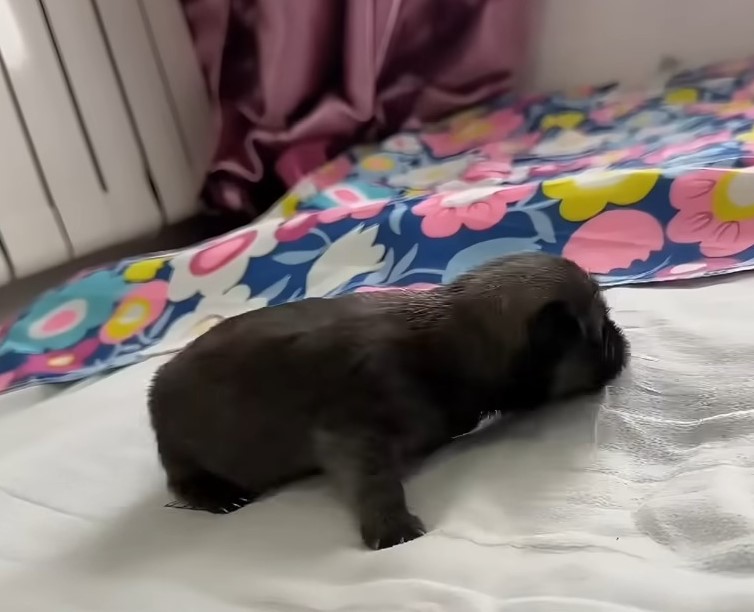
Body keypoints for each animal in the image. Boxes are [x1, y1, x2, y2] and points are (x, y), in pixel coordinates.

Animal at [148, 251, 628, 548]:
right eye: (601, 332)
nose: (620, 336)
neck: (449, 344)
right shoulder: (355, 429)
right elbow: (375, 482)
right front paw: (391, 525)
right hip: (180, 450)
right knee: (180, 477)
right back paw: (215, 494)